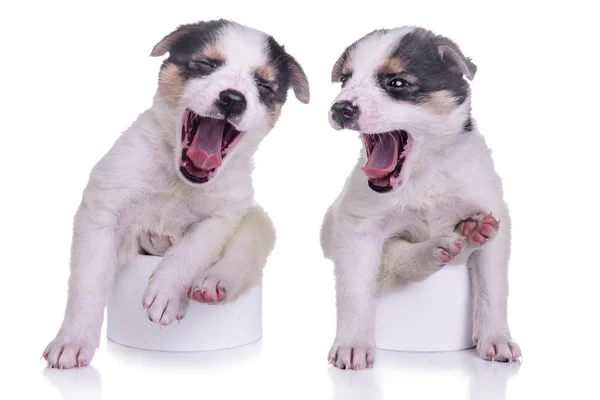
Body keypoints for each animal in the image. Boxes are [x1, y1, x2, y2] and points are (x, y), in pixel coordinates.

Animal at [42, 18, 310, 368]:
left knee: (245, 249)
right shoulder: (101, 212)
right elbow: (88, 283)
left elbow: (193, 247)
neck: (179, 180)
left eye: (264, 86)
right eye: (205, 65)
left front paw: (168, 292)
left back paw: (214, 283)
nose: (233, 98)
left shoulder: (225, 215)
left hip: (257, 221)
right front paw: (72, 341)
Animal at [322, 26, 524, 370]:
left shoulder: (494, 212)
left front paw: (496, 338)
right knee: (396, 260)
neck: (424, 174)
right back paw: (440, 247)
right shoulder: (356, 228)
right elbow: (355, 292)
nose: (340, 109)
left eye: (397, 83)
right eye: (345, 79)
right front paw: (352, 344)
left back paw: (471, 232)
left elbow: (492, 289)